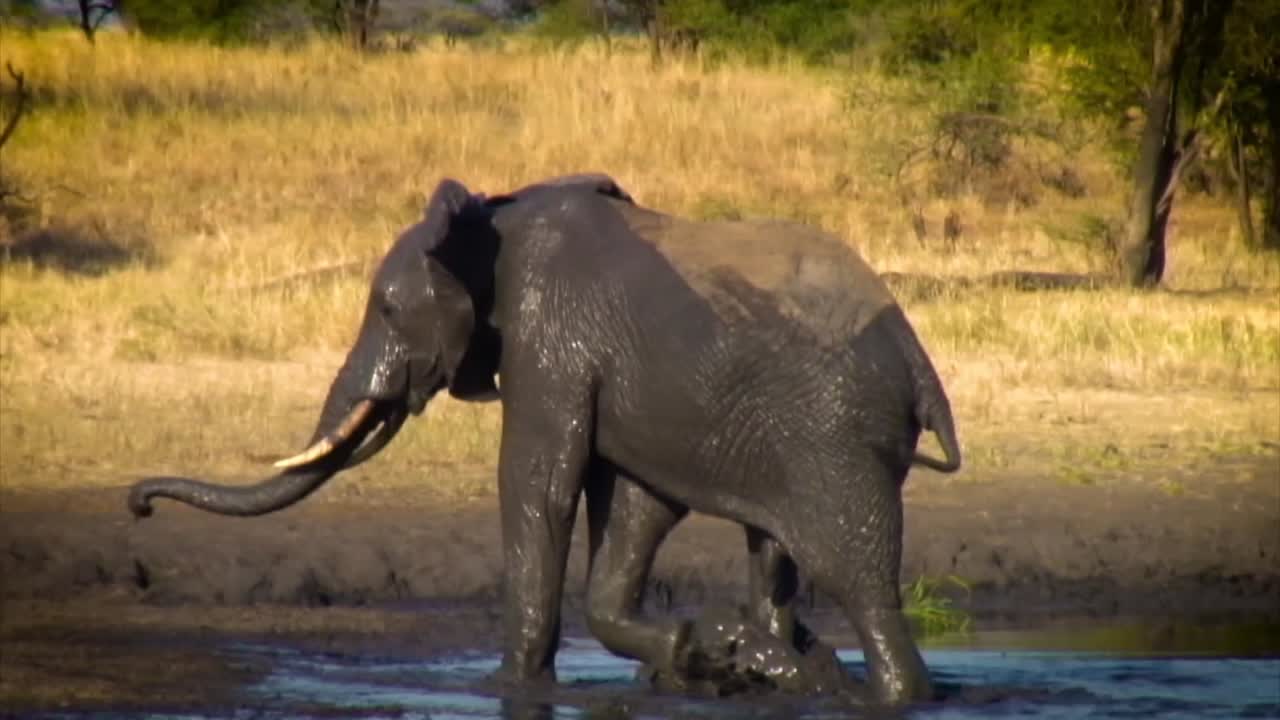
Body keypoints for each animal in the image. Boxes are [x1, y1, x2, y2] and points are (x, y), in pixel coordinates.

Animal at [128, 173, 961, 707]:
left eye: (388, 309)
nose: (137, 504)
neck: (489, 219)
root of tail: (920, 364)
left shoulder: (548, 342)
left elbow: (539, 486)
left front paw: (512, 689)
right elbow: (633, 507)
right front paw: (717, 656)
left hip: (836, 440)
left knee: (858, 580)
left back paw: (889, 691)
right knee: (776, 557)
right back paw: (798, 665)